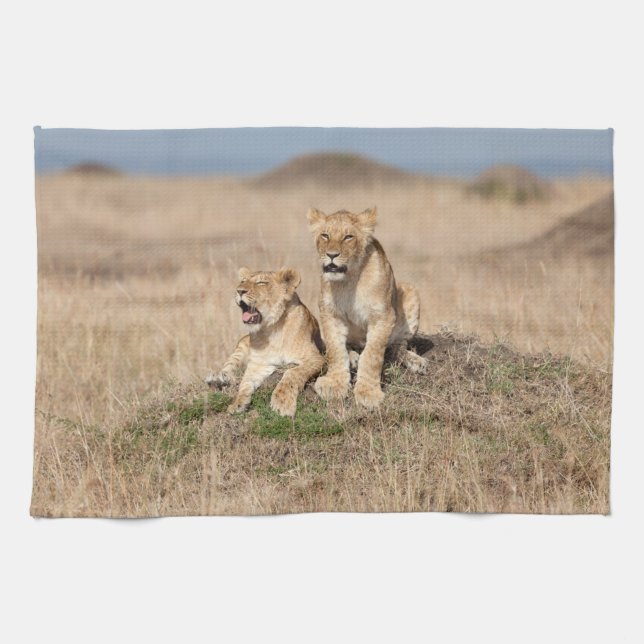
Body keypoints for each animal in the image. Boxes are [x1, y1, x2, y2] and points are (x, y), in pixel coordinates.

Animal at [206, 266, 325, 417]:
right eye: (243, 281)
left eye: (261, 283)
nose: (239, 291)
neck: (271, 329)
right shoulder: (259, 364)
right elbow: (245, 383)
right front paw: (237, 403)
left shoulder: (316, 357)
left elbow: (292, 373)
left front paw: (282, 403)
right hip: (241, 344)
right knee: (229, 366)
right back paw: (218, 378)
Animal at [307, 206, 428, 409]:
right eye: (325, 235)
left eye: (348, 237)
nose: (331, 255)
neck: (348, 280)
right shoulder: (330, 314)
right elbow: (335, 350)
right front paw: (334, 384)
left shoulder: (383, 316)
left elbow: (372, 356)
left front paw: (368, 393)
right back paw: (352, 357)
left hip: (410, 291)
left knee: (397, 346)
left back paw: (416, 361)